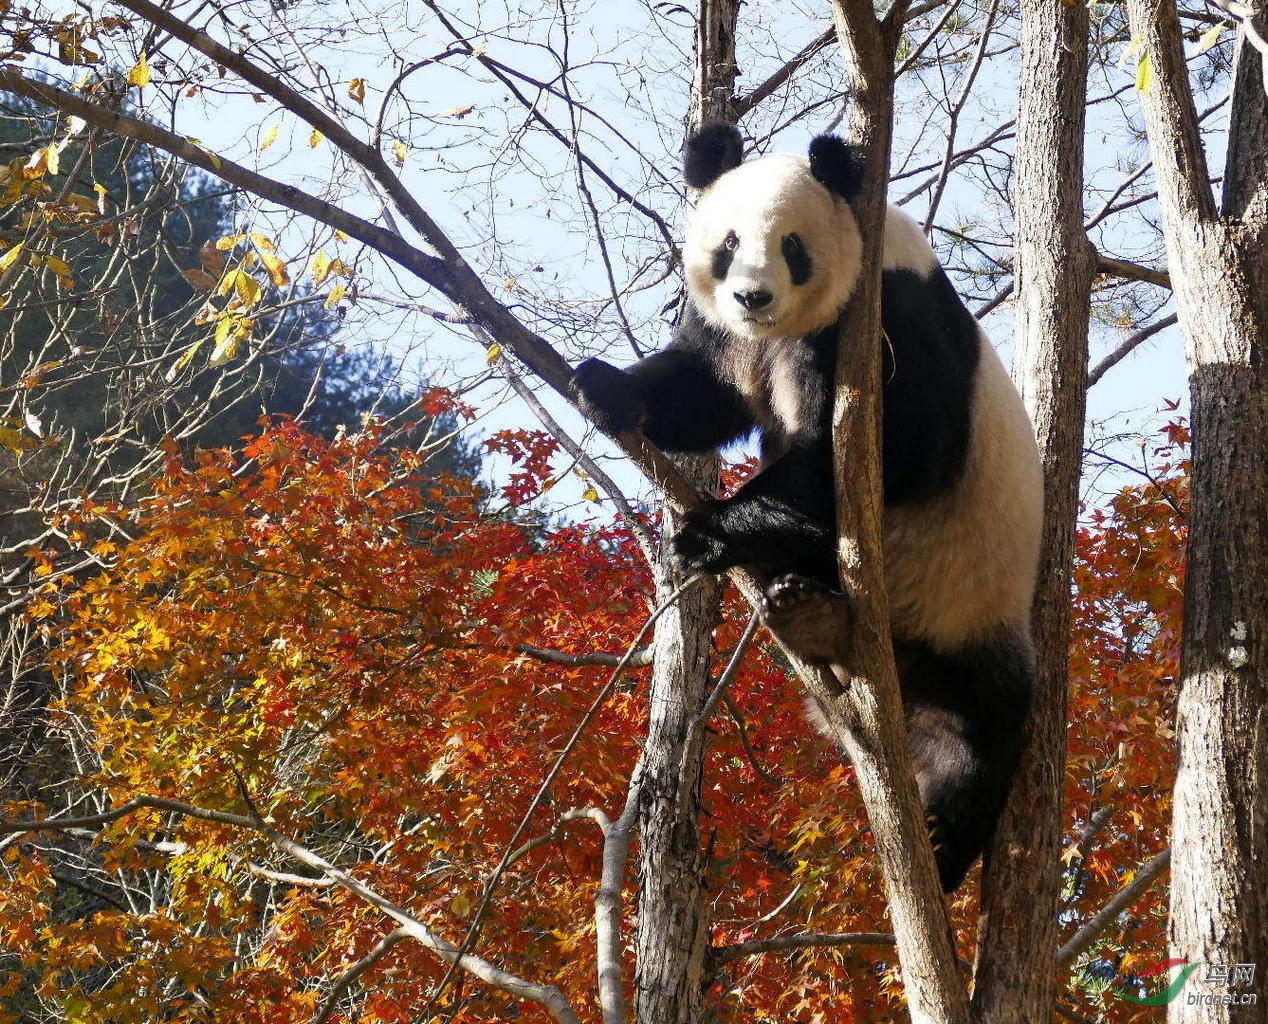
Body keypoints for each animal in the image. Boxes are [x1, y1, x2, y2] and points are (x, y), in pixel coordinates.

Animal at [573, 122, 1039, 897]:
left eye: (793, 246)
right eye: (727, 243)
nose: (753, 297)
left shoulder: (889, 318)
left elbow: (903, 451)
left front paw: (712, 530)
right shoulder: (728, 334)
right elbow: (704, 390)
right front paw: (605, 388)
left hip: (970, 611)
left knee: (979, 730)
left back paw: (941, 844)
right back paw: (811, 613)